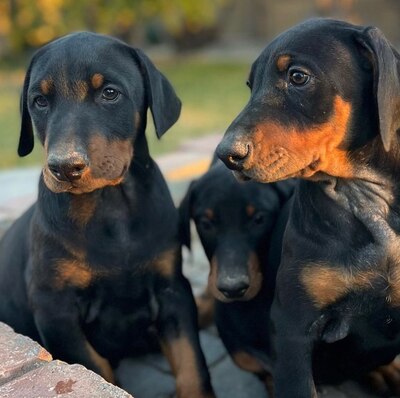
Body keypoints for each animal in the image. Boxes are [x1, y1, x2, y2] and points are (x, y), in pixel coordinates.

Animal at [0, 31, 214, 398]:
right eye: (39, 101)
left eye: (109, 93)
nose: (64, 166)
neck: (109, 203)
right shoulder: (55, 309)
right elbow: (95, 364)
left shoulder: (172, 289)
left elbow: (190, 361)